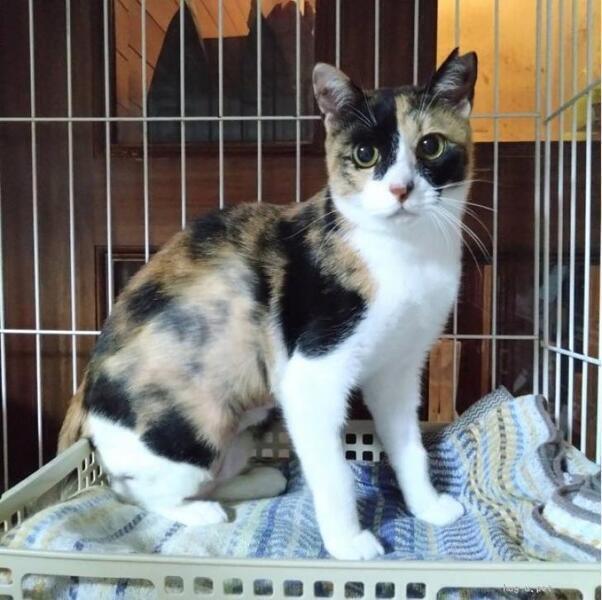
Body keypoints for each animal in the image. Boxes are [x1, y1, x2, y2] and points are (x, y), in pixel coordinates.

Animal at [59, 48, 477, 560]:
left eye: (431, 146)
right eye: (366, 155)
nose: (401, 190)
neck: (406, 252)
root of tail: (86, 396)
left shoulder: (397, 371)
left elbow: (409, 446)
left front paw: (429, 507)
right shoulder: (311, 376)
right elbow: (335, 470)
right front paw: (349, 543)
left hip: (248, 424)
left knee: (209, 476)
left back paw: (261, 478)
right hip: (191, 433)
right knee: (136, 491)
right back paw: (202, 510)